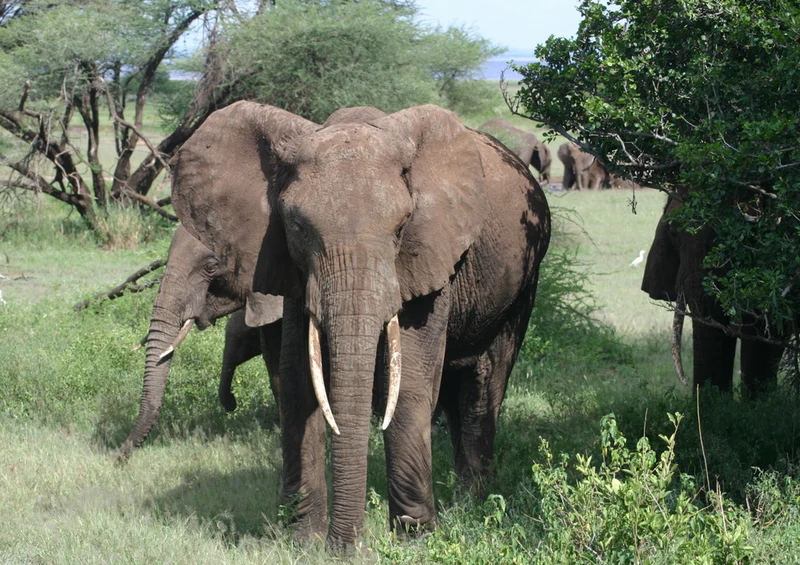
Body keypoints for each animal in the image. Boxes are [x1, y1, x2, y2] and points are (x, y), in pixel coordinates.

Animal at [170, 101, 551, 549]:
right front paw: (302, 538)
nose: (346, 547)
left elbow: (409, 383)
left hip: (524, 276)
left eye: (402, 227)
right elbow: (298, 382)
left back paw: (473, 502)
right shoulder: (290, 268)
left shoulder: (429, 256)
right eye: (297, 227)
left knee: (484, 382)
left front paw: (413, 536)